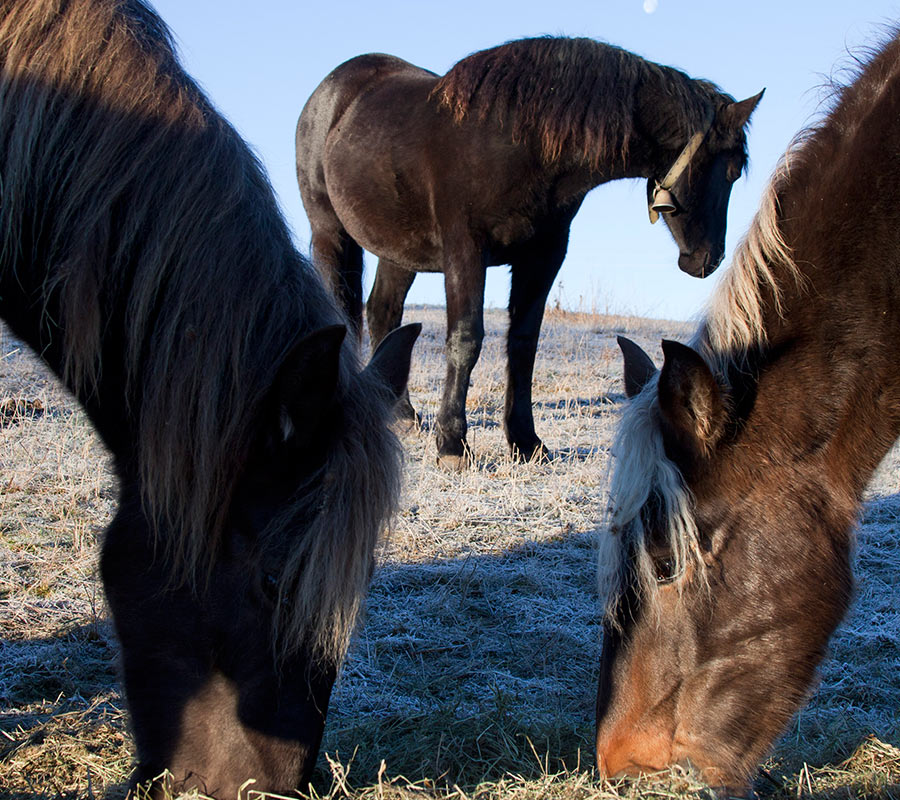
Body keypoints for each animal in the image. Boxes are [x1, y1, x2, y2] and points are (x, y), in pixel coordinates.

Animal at [298, 37, 764, 468]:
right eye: (730, 171)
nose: (707, 259)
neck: (519, 141)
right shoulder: (465, 250)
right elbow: (466, 338)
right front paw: (452, 444)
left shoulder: (544, 255)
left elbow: (523, 345)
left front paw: (525, 441)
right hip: (329, 232)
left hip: (399, 252)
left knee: (384, 313)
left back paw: (401, 414)